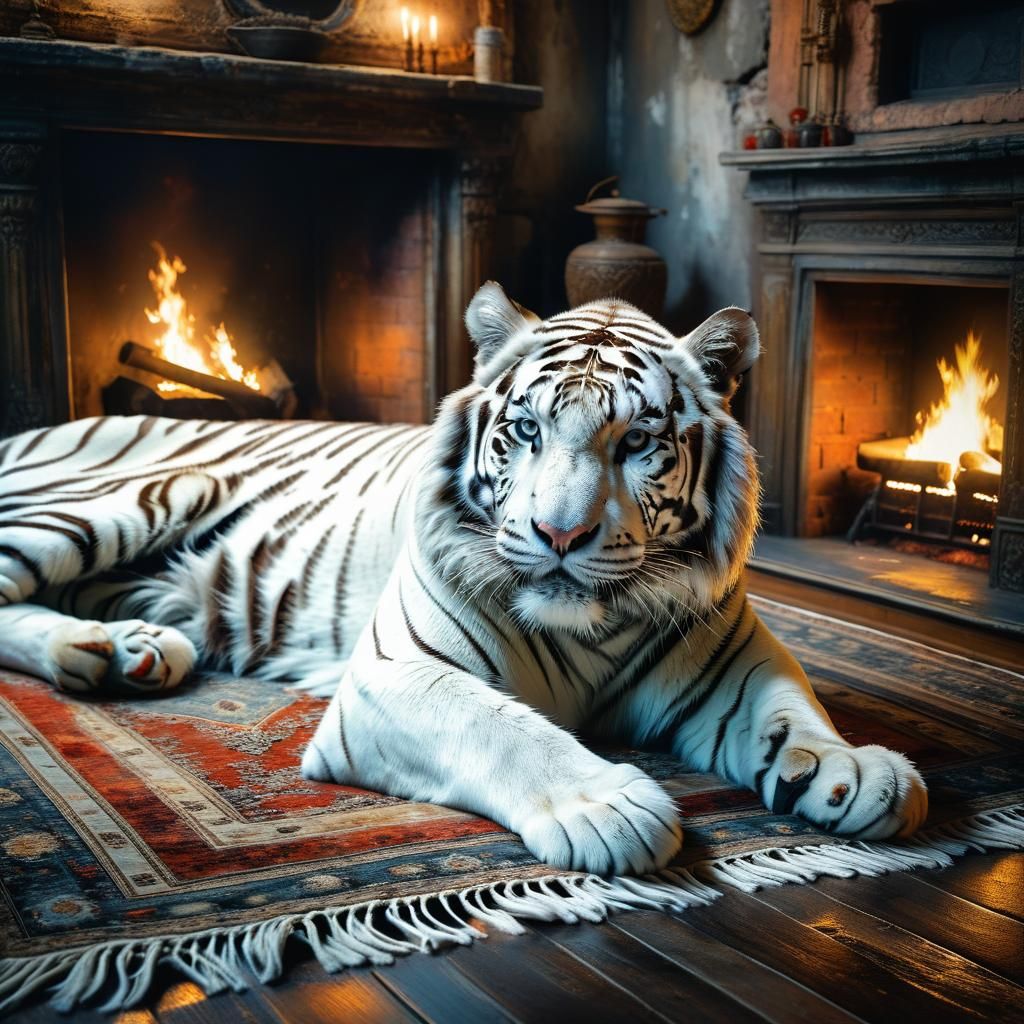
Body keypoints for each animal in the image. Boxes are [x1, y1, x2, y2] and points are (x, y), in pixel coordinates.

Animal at [0, 282, 927, 876]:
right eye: (525, 430)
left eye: (636, 443)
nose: (560, 533)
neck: (594, 624)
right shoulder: (395, 675)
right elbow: (503, 727)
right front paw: (607, 806)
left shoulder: (734, 665)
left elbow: (791, 710)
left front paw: (854, 771)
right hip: (128, 498)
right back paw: (102, 652)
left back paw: (127, 649)